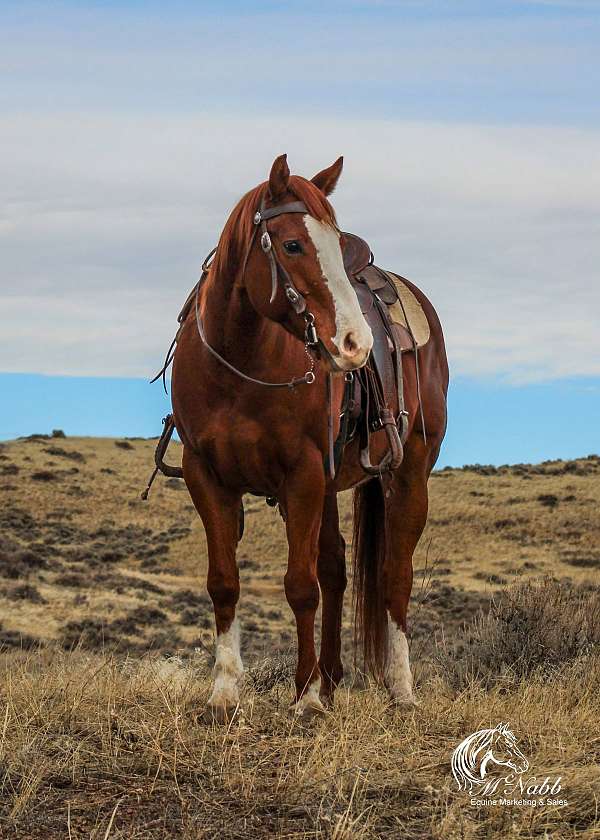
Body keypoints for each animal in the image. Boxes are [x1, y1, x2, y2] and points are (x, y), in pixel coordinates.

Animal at [171, 154, 448, 720]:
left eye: (334, 244)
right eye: (294, 245)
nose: (355, 343)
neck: (239, 365)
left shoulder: (300, 476)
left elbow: (300, 586)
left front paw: (303, 697)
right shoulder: (205, 476)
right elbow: (224, 582)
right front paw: (225, 692)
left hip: (409, 474)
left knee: (395, 578)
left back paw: (399, 689)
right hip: (331, 484)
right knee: (337, 567)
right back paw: (332, 680)